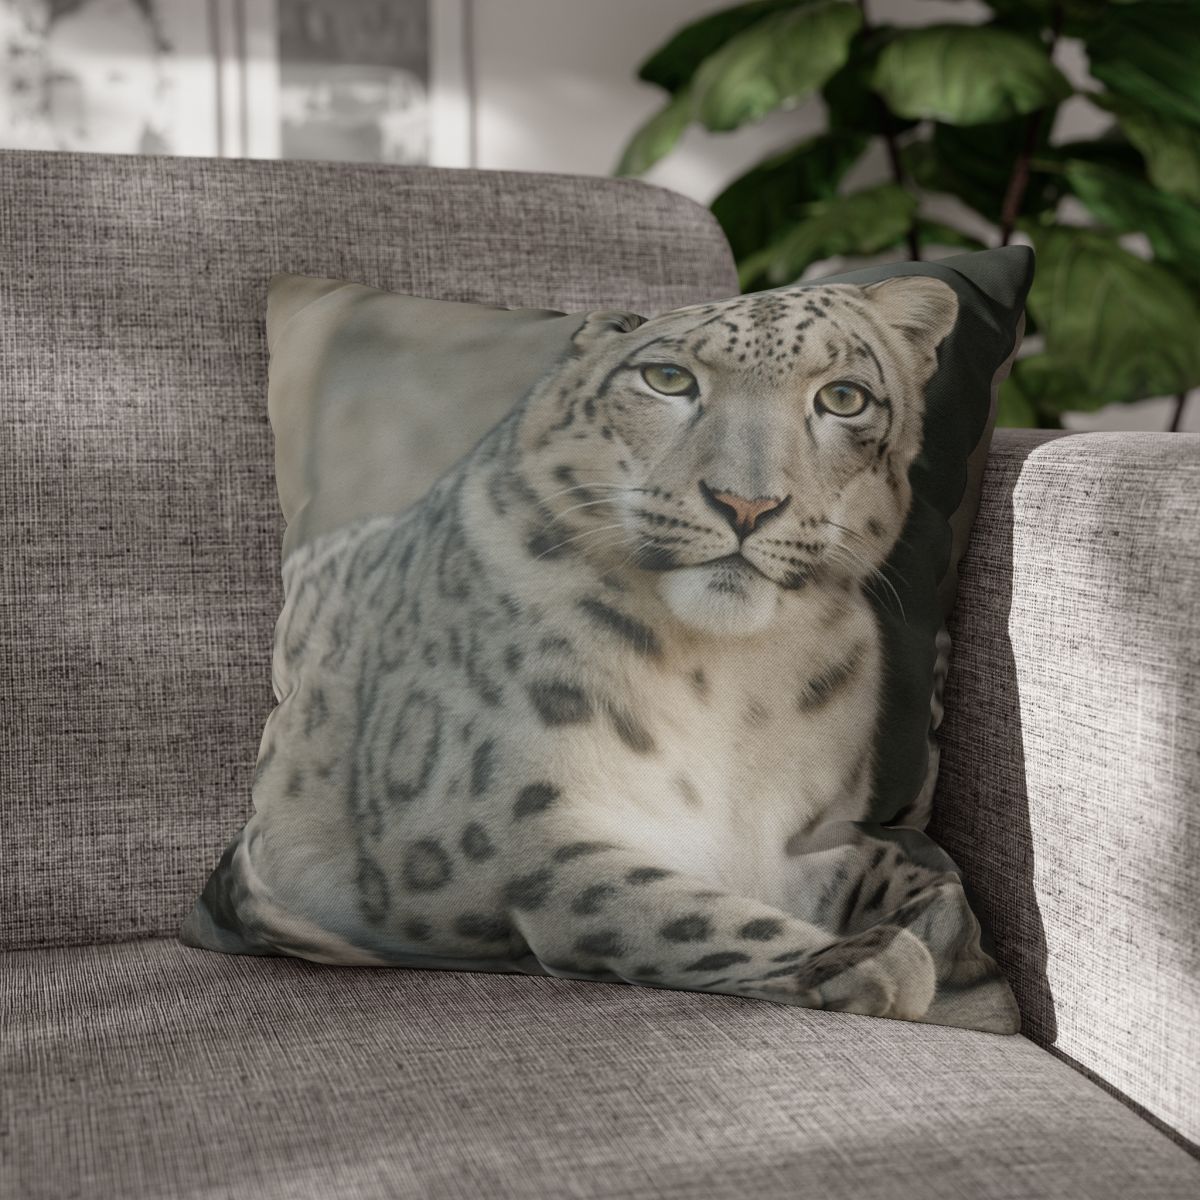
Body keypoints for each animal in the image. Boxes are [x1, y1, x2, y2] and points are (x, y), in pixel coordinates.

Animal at [181, 275, 1021, 1034]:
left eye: (844, 397)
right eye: (668, 378)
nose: (746, 504)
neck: (737, 681)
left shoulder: (797, 838)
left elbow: (894, 868)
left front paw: (937, 923)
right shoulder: (494, 830)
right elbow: (663, 904)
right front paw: (864, 958)